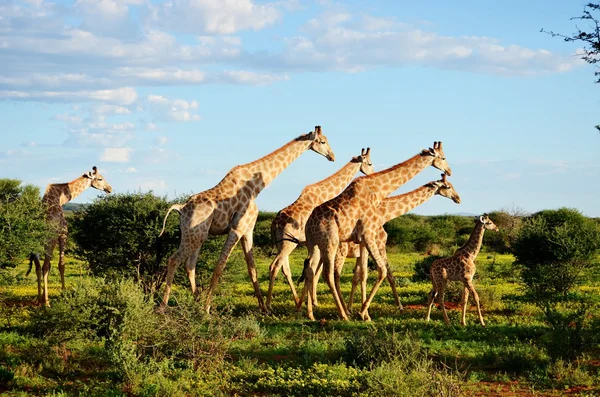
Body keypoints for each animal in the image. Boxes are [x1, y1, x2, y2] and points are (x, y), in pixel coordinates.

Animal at [31, 166, 112, 304]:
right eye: (100, 178)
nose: (110, 189)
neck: (61, 199)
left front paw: (42, 297)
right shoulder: (63, 235)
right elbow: (61, 265)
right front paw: (64, 291)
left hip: (36, 245)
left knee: (38, 267)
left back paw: (38, 299)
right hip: (49, 241)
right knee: (45, 267)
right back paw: (46, 302)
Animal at [158, 125, 338, 314]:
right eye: (322, 141)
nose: (332, 157)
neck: (256, 188)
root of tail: (181, 208)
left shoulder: (248, 230)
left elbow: (252, 269)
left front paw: (264, 308)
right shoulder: (236, 229)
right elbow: (220, 267)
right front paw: (207, 308)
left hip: (198, 235)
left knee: (189, 265)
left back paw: (195, 301)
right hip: (193, 235)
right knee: (174, 260)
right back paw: (164, 306)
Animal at [264, 147, 372, 310]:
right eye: (369, 163)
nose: (372, 173)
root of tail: (274, 224)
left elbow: (315, 270)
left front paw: (313, 301)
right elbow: (317, 270)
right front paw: (314, 302)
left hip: (281, 244)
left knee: (285, 268)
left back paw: (296, 300)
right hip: (288, 243)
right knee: (274, 266)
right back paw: (268, 305)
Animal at [300, 141, 450, 320]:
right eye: (443, 157)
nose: (449, 171)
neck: (377, 189)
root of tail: (309, 224)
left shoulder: (363, 240)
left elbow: (364, 274)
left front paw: (364, 313)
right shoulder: (369, 235)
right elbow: (382, 271)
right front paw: (363, 312)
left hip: (314, 244)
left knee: (310, 270)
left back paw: (309, 313)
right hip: (331, 242)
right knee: (328, 274)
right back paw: (343, 314)